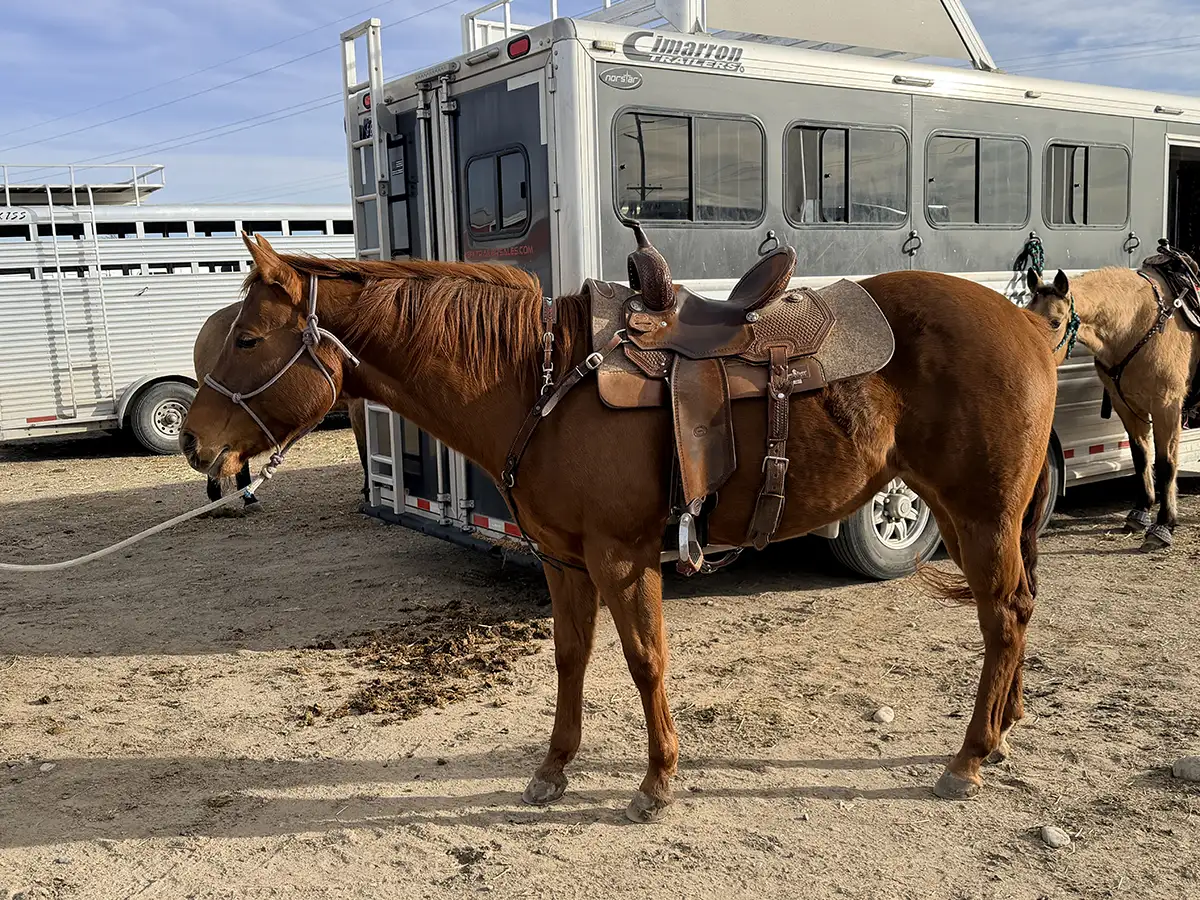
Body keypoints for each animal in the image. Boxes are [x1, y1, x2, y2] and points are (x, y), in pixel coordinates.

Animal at [1027, 266, 1200, 551]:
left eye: (1054, 322)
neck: (1134, 324)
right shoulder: (1125, 405)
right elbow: (1141, 456)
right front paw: (1140, 512)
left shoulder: (1166, 406)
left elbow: (1166, 464)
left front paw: (1163, 526)